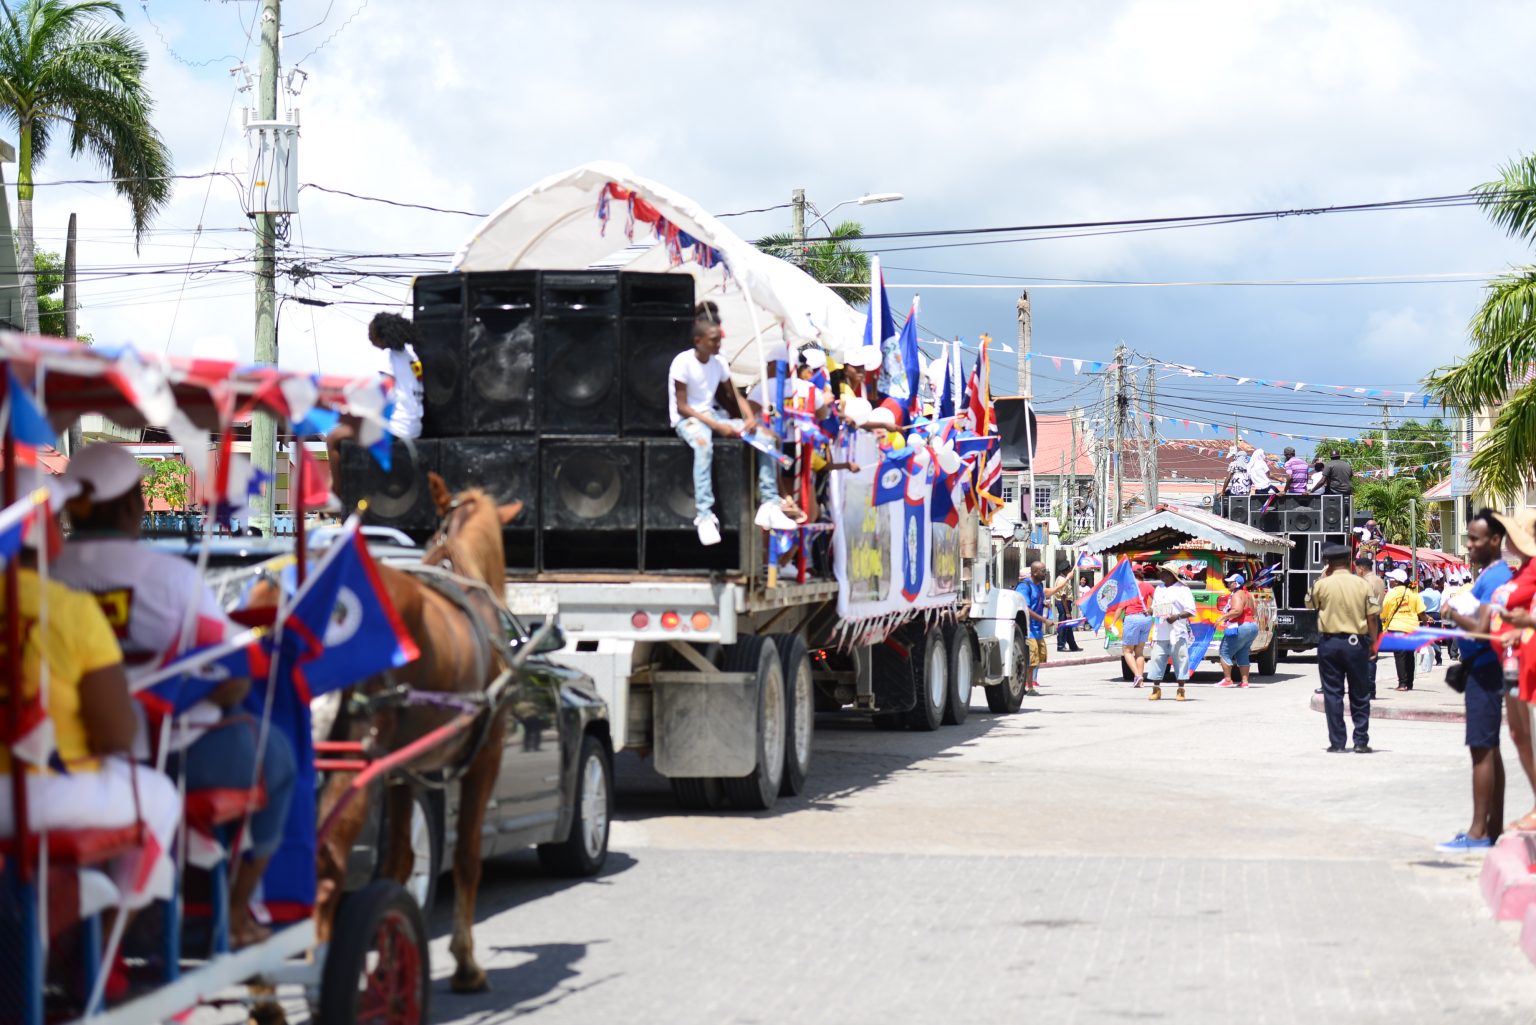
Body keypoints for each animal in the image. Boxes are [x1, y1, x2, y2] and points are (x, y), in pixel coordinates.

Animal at [248, 473, 519, 995]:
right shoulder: (487, 755)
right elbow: (468, 857)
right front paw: (465, 963)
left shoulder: (402, 774)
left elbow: (399, 860)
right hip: (350, 759)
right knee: (322, 869)